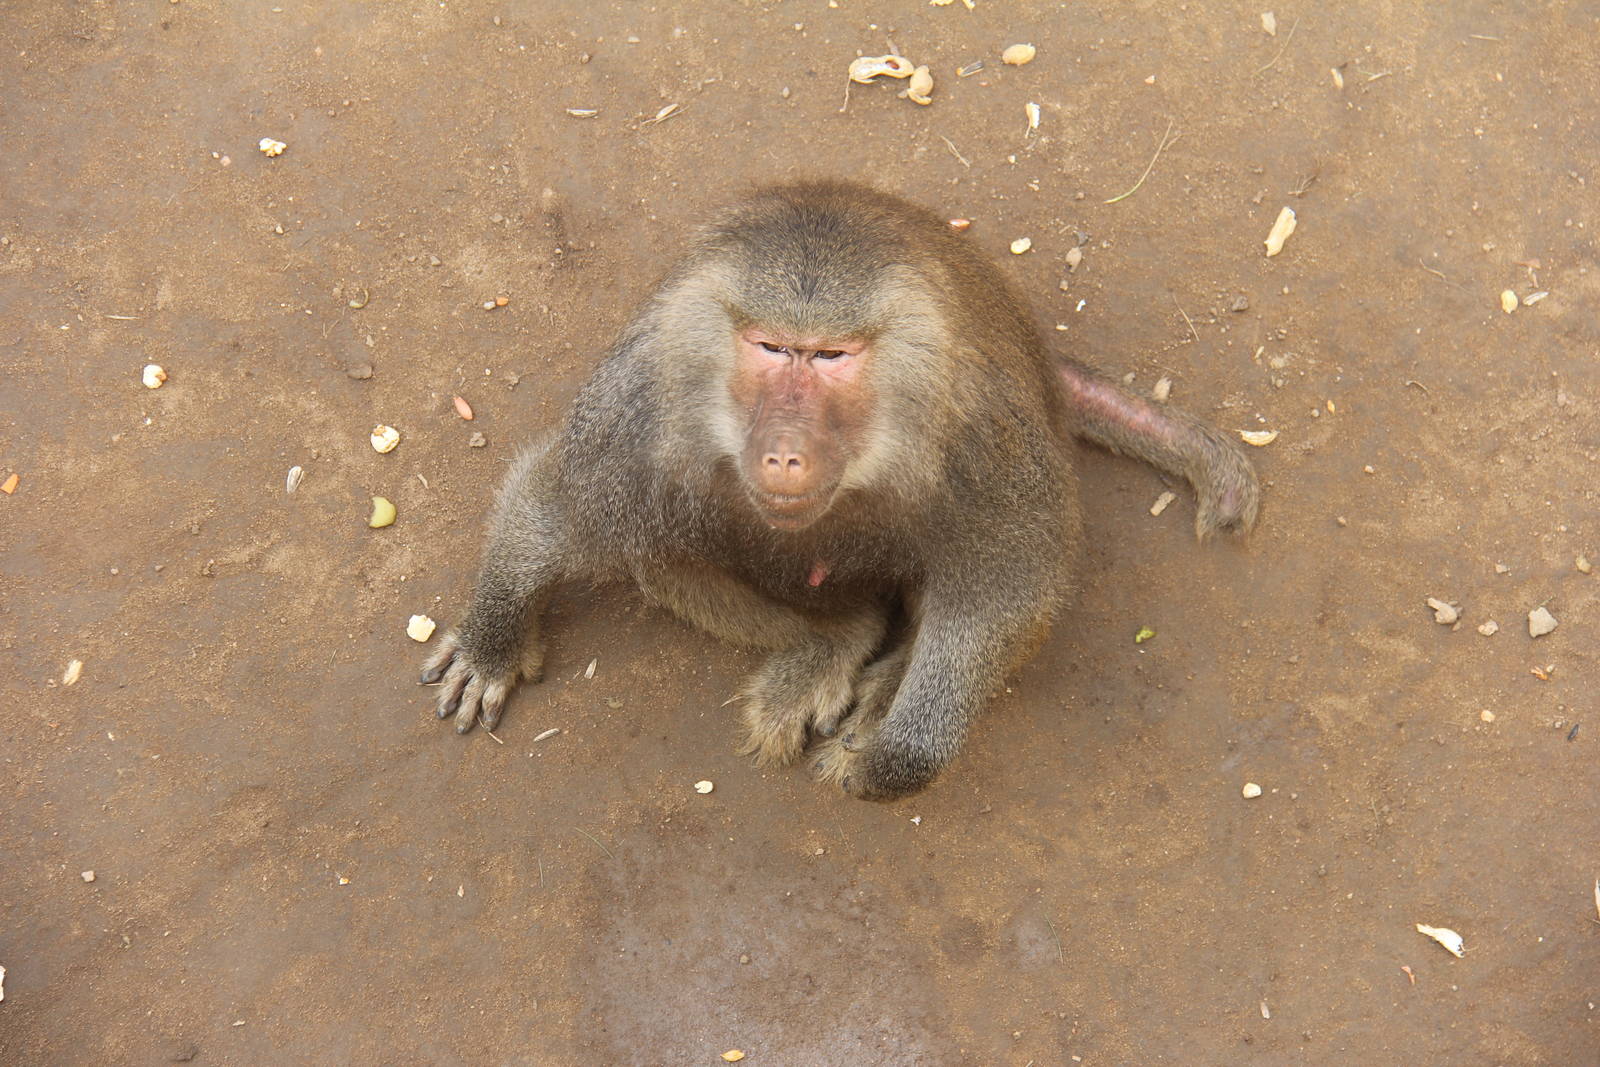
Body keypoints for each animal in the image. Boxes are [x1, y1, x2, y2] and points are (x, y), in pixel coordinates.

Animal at [420, 181, 1258, 801]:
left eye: (830, 357)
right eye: (769, 347)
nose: (786, 455)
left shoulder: (981, 437)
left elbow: (1008, 586)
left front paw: (887, 758)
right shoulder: (641, 417)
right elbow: (554, 503)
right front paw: (493, 645)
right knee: (661, 552)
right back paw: (832, 639)